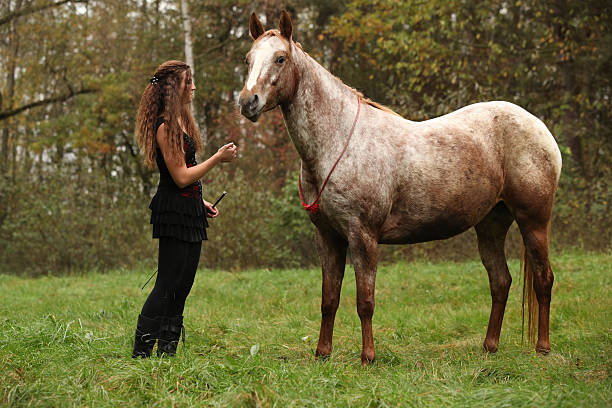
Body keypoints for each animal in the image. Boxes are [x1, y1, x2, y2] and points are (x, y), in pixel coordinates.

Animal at [238, 11, 560, 364]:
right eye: (248, 59)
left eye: (280, 58)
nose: (248, 102)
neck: (337, 142)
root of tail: (539, 128)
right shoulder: (328, 236)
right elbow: (329, 299)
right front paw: (322, 353)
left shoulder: (363, 237)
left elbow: (365, 301)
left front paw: (368, 357)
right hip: (491, 225)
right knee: (500, 282)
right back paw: (489, 347)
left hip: (533, 221)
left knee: (543, 280)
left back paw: (543, 348)